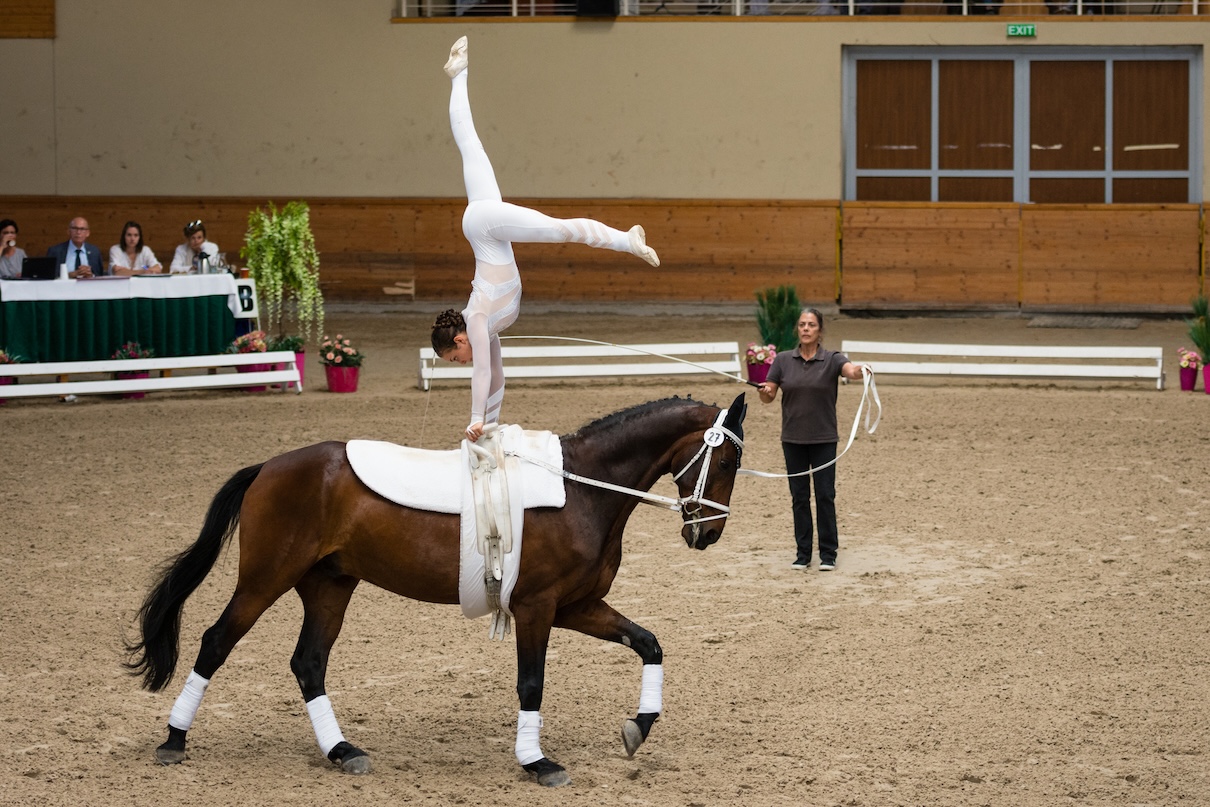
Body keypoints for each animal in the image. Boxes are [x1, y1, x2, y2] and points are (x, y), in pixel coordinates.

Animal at [125, 394, 745, 784]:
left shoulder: (575, 605)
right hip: (265, 579)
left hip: (329, 586)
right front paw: (537, 762)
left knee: (308, 663)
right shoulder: (537, 607)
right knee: (216, 642)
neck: (581, 491)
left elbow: (649, 643)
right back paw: (174, 740)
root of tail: (269, 466)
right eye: (727, 460)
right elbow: (532, 683)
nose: (709, 533)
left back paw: (342, 751)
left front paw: (638, 727)